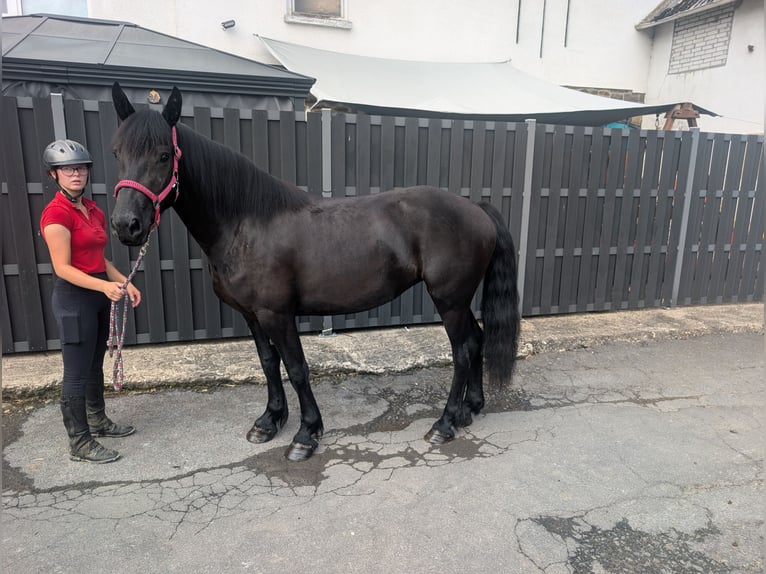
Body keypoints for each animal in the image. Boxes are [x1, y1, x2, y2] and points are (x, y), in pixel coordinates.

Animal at [109, 82, 520, 461]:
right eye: (117, 152)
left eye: (164, 155)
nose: (126, 225)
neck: (247, 222)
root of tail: (477, 210)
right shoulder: (251, 315)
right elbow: (268, 363)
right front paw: (269, 421)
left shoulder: (277, 314)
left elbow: (297, 368)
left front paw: (306, 434)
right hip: (458, 300)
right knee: (477, 340)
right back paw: (470, 408)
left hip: (449, 300)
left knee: (463, 350)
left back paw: (445, 423)